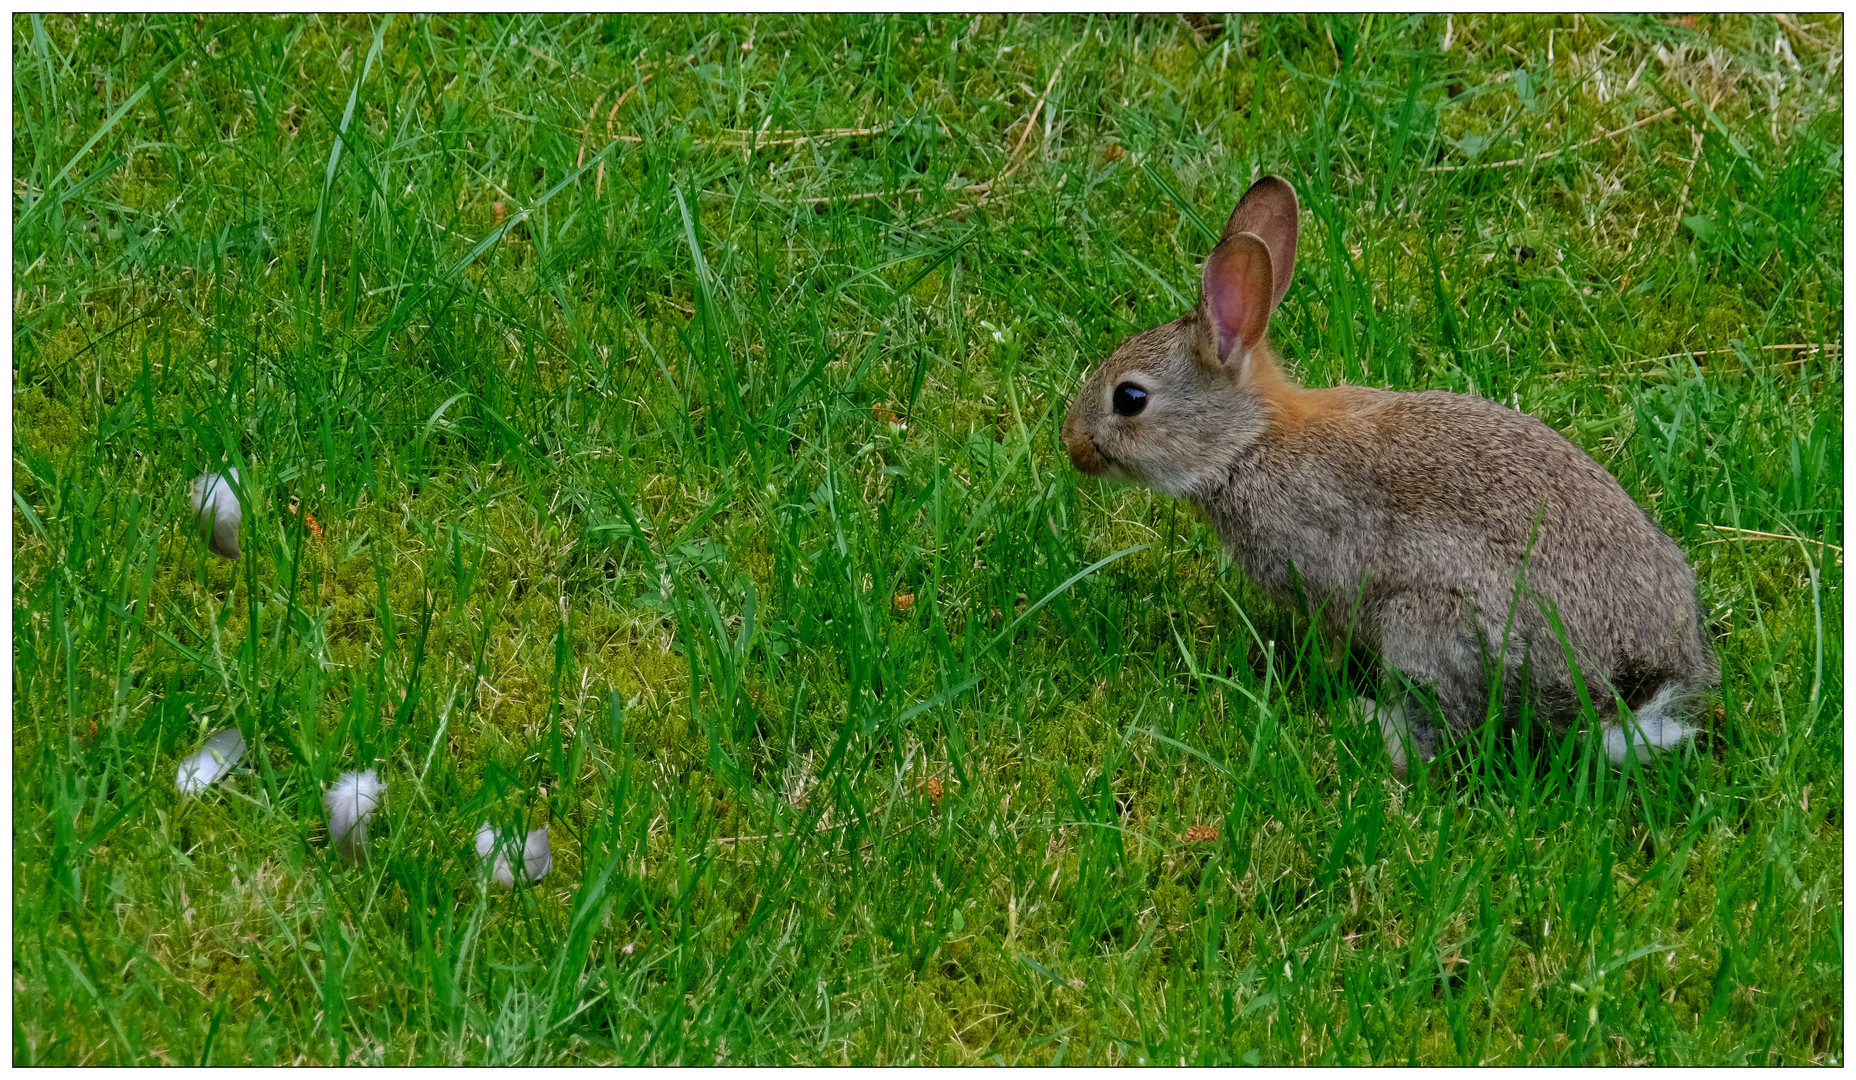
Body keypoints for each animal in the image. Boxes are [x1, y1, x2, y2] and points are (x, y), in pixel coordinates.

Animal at [1069, 178, 1714, 775]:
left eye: (1129, 399)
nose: (1072, 445)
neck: (1248, 443)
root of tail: (1619, 700)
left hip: (1433, 628)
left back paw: (1365, 725)